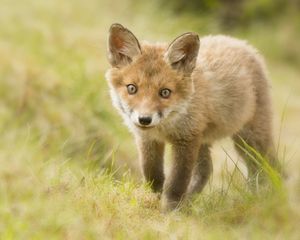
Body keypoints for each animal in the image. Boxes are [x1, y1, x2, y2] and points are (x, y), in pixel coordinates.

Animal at [104, 23, 280, 211]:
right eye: (132, 88)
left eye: (165, 92)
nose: (144, 119)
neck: (166, 127)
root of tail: (241, 43)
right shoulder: (148, 139)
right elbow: (153, 174)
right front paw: (153, 199)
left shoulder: (186, 139)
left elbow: (177, 182)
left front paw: (170, 210)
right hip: (205, 140)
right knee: (206, 170)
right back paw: (189, 200)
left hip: (250, 139)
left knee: (267, 167)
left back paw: (265, 197)